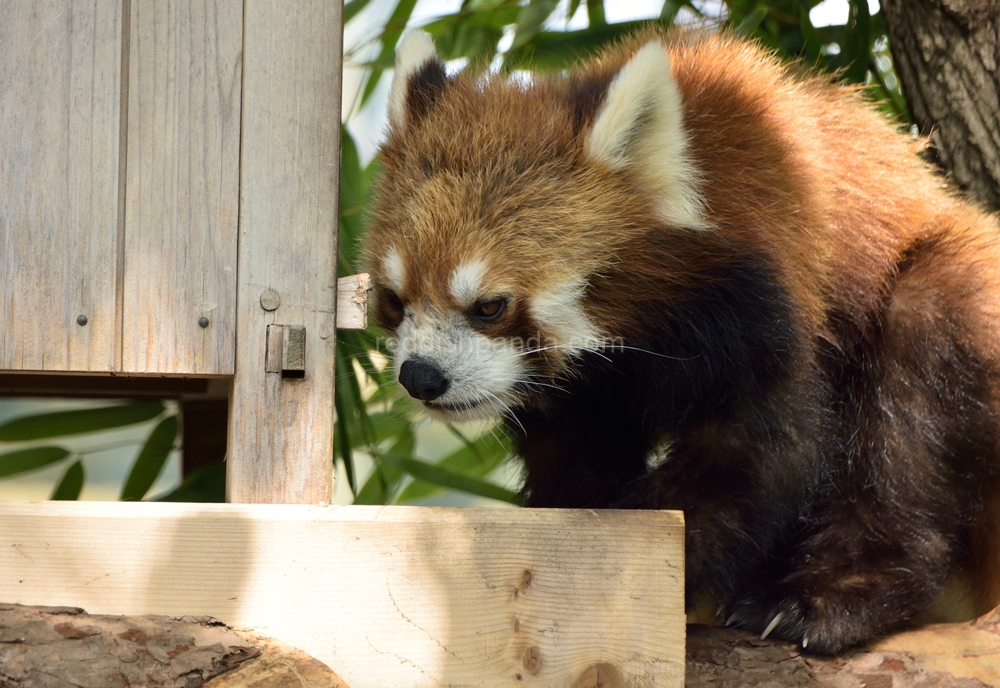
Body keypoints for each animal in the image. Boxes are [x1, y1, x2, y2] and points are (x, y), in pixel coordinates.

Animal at [364, 25, 1000, 652]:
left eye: (490, 306)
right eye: (394, 299)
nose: (421, 376)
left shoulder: (763, 299)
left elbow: (764, 453)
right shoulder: (586, 395)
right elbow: (575, 462)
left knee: (908, 411)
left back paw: (826, 597)